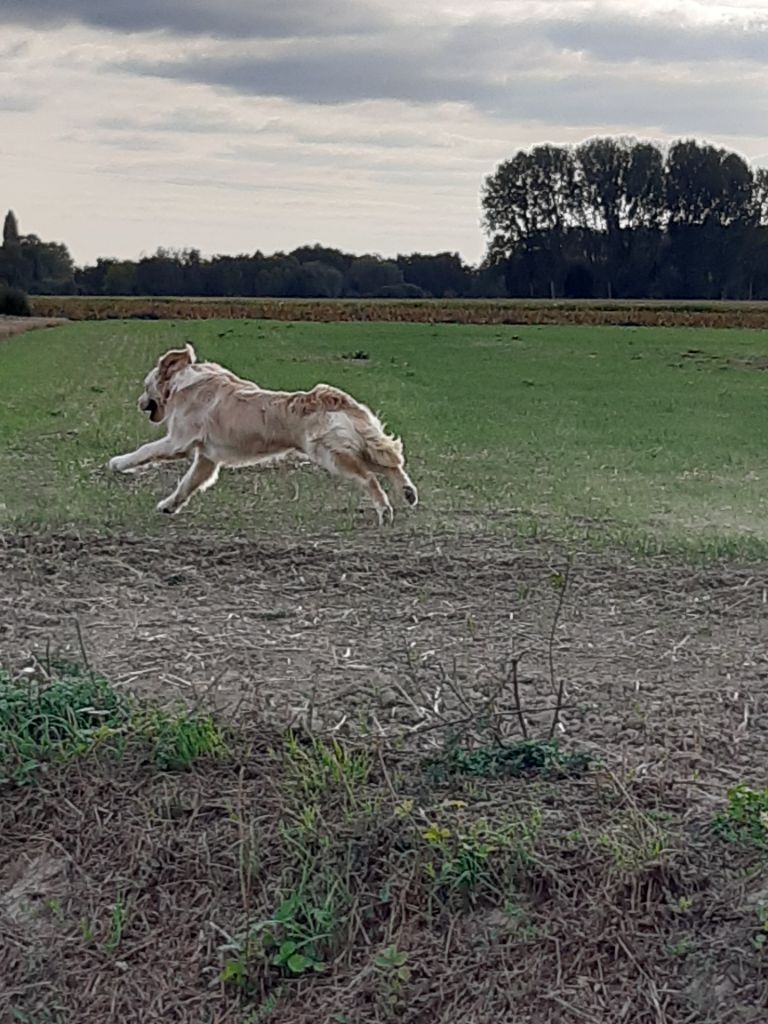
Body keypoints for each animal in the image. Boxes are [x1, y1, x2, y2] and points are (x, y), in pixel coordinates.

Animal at [108, 343, 418, 524]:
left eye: (145, 386)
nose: (138, 402)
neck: (183, 383)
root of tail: (332, 397)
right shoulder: (207, 459)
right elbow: (187, 484)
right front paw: (169, 505)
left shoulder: (178, 441)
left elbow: (145, 451)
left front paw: (118, 463)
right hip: (356, 444)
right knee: (391, 464)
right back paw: (408, 493)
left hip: (332, 454)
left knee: (369, 478)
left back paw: (384, 510)